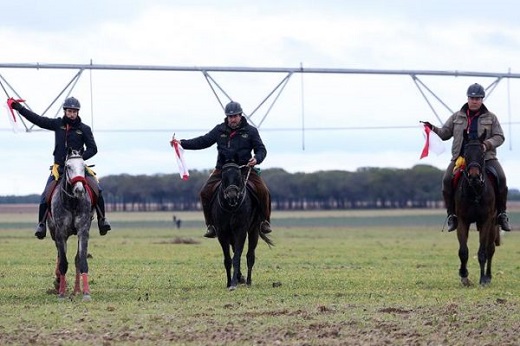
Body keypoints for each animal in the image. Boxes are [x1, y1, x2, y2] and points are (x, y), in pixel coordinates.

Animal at [47, 149, 94, 300]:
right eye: (68, 166)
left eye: (83, 166)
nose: (79, 190)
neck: (72, 203)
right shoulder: (60, 232)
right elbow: (63, 262)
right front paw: (61, 293)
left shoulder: (83, 231)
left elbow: (81, 260)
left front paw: (86, 293)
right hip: (54, 233)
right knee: (60, 255)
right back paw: (58, 282)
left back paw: (76, 290)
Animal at [212, 162, 276, 290]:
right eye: (223, 177)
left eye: (239, 177)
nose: (232, 196)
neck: (231, 208)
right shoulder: (222, 233)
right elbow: (228, 259)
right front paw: (229, 282)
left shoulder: (241, 231)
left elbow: (237, 257)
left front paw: (233, 284)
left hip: (253, 231)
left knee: (250, 256)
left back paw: (248, 281)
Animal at [456, 130, 500, 286]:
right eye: (466, 154)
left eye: (482, 153)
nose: (474, 176)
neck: (475, 191)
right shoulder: (462, 221)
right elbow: (463, 251)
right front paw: (464, 275)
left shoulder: (486, 221)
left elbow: (482, 252)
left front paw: (482, 279)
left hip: (493, 223)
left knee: (490, 249)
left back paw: (488, 276)